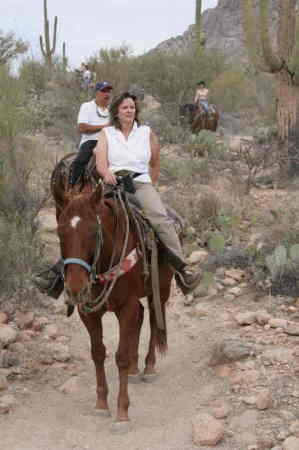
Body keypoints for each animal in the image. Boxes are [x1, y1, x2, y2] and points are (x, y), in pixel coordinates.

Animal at [54, 181, 176, 434]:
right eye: (60, 232)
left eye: (93, 232)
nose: (75, 289)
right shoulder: (88, 312)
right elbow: (98, 353)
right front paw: (101, 404)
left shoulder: (126, 307)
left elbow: (120, 357)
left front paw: (122, 414)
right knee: (141, 317)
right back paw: (134, 368)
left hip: (160, 289)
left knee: (153, 320)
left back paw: (148, 367)